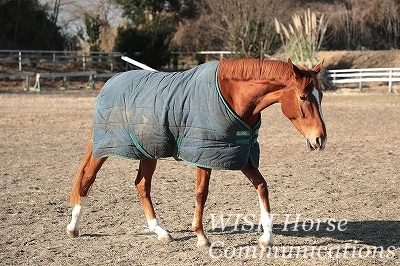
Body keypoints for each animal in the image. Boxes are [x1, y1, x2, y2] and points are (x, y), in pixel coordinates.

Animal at [67, 58, 326, 249]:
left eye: (321, 96)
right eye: (303, 96)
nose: (320, 139)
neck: (232, 95)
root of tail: (110, 83)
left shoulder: (239, 153)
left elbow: (262, 187)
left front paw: (267, 238)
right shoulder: (204, 153)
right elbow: (201, 193)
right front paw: (202, 238)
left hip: (148, 151)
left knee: (142, 185)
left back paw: (160, 231)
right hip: (106, 147)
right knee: (87, 179)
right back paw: (73, 227)